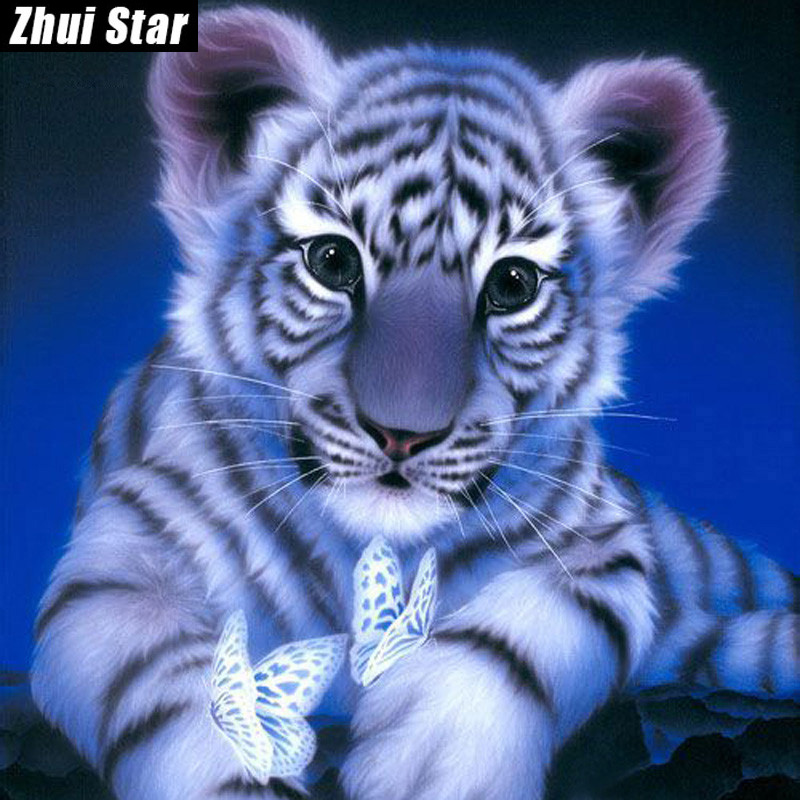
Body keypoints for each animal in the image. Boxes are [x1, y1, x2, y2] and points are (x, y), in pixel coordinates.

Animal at [31, 6, 799, 800]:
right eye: (332, 261)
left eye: (513, 284)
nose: (402, 434)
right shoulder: (122, 559)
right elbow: (177, 688)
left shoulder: (603, 545)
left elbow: (518, 635)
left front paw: (435, 759)